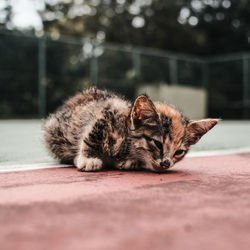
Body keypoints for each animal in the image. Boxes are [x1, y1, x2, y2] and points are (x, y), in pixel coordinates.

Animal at [43, 87, 219, 172]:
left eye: (179, 152)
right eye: (157, 143)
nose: (166, 163)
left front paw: (127, 163)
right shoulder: (109, 111)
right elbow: (92, 135)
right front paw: (88, 159)